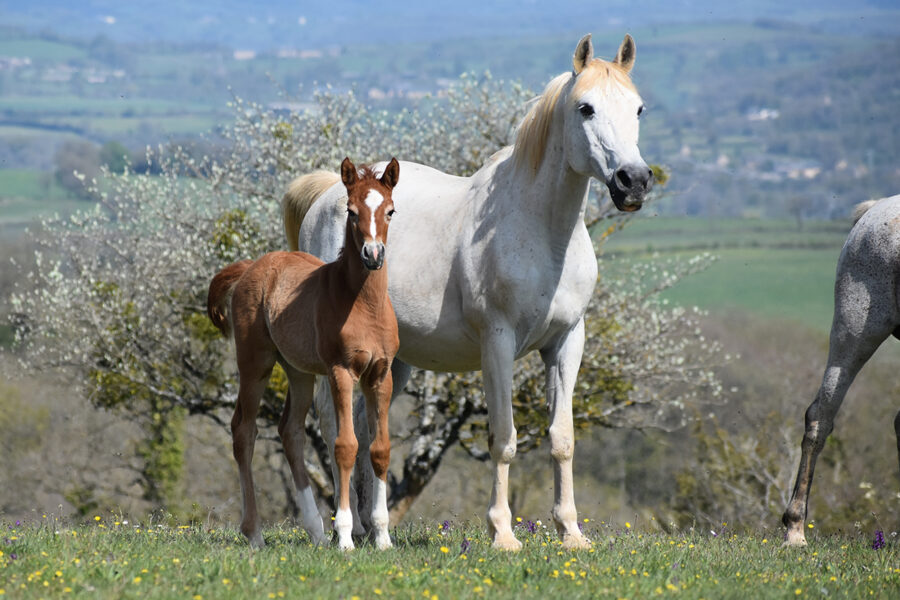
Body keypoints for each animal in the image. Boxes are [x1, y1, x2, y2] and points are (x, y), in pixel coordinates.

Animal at [209, 157, 400, 552]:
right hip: (256, 363)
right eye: (350, 210)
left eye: (390, 210)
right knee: (243, 429)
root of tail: (252, 267)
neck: (364, 305)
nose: (373, 255)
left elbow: (379, 449)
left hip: (298, 372)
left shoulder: (381, 373)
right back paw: (255, 533)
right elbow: (345, 445)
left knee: (290, 431)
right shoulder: (341, 371)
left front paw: (383, 537)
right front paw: (346, 538)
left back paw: (315, 530)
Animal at [284, 32, 652, 548]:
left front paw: (571, 533)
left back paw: (369, 527)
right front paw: (503, 535)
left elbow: (562, 438)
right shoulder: (497, 343)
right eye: (586, 108)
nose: (633, 181)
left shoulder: (567, 341)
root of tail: (326, 195)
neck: (541, 231)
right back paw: (338, 531)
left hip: (391, 361)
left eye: (638, 109)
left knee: (364, 428)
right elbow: (504, 439)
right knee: (333, 423)